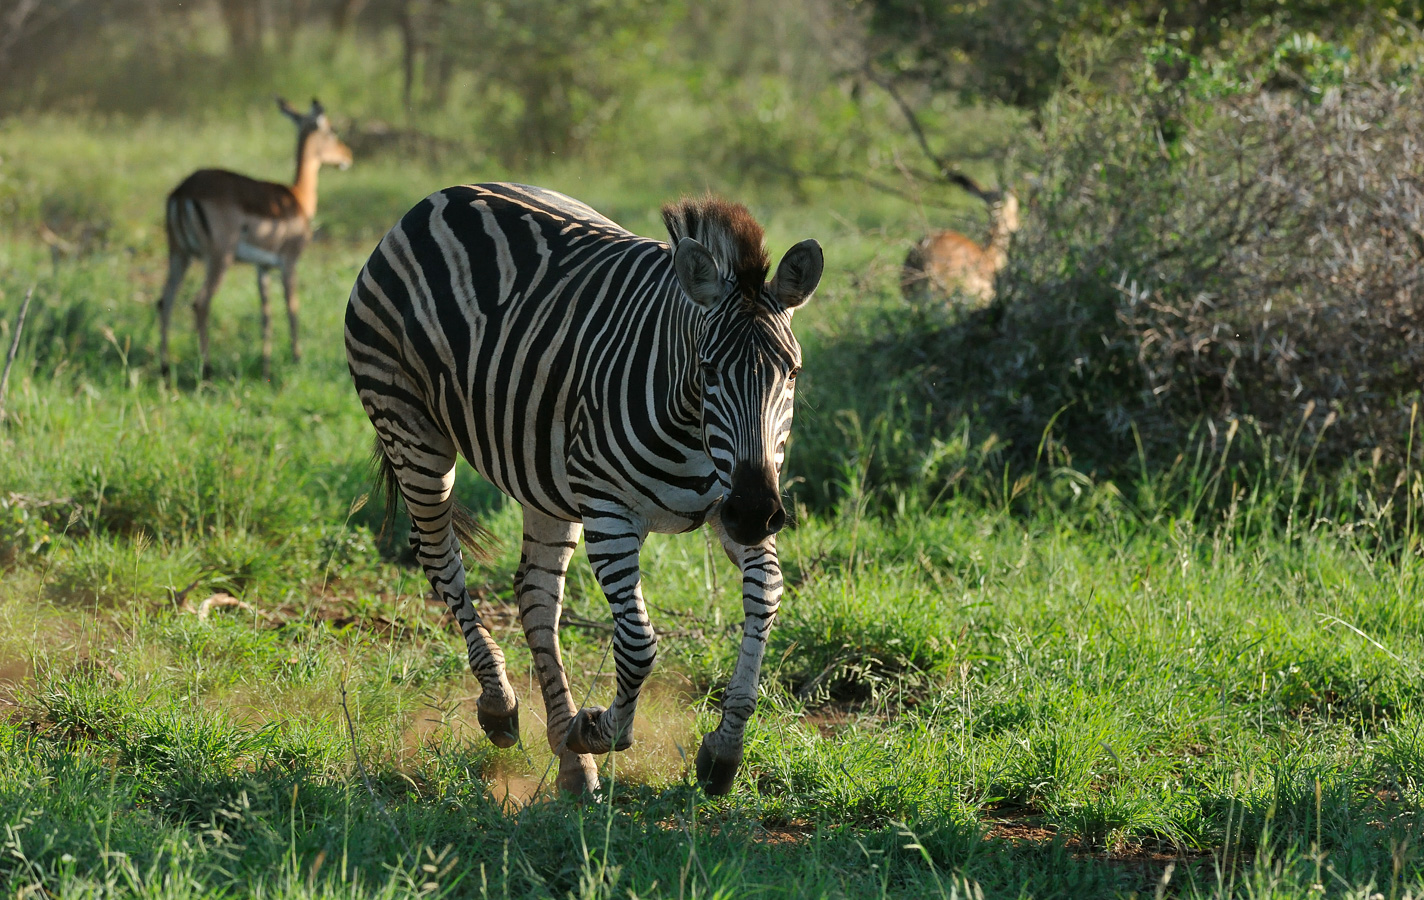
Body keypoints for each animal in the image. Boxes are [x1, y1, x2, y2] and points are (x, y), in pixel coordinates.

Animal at [157, 98, 351, 378]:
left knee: (166, 300)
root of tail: (183, 190)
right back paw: (207, 368)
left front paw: (266, 367)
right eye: (332, 130)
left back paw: (164, 367)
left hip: (179, 254)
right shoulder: (289, 262)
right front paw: (296, 358)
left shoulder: (263, 267)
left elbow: (266, 314)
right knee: (200, 302)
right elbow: (292, 308)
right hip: (218, 258)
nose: (348, 156)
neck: (297, 197)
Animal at [343, 182, 825, 791]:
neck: (692, 428)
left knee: (534, 593)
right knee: (438, 555)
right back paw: (502, 705)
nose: (759, 512)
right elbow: (639, 644)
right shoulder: (609, 511)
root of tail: (437, 200)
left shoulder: (732, 497)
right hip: (409, 426)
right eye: (709, 371)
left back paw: (571, 764)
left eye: (793, 373)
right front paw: (596, 729)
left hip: (545, 477)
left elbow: (766, 598)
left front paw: (723, 750)